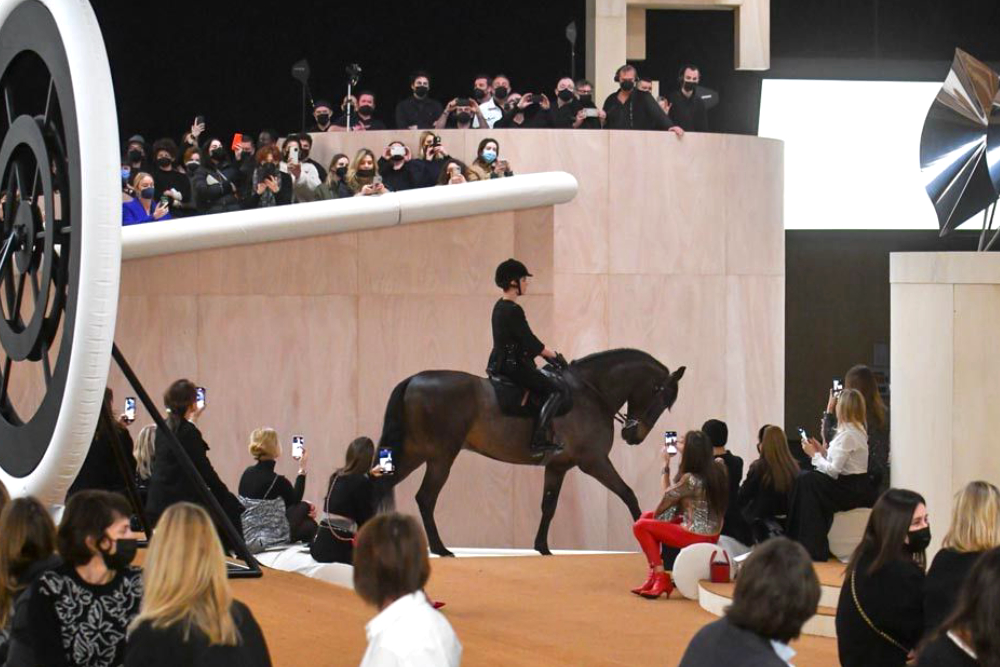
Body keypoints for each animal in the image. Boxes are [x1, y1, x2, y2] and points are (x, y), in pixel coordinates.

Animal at [378, 348, 684, 556]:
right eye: (660, 398)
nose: (633, 435)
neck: (590, 393)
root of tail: (414, 379)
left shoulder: (558, 466)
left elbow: (548, 506)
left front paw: (542, 547)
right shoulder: (594, 462)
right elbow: (628, 494)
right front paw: (647, 537)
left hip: (415, 453)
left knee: (383, 484)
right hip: (440, 456)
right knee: (425, 498)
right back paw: (440, 549)